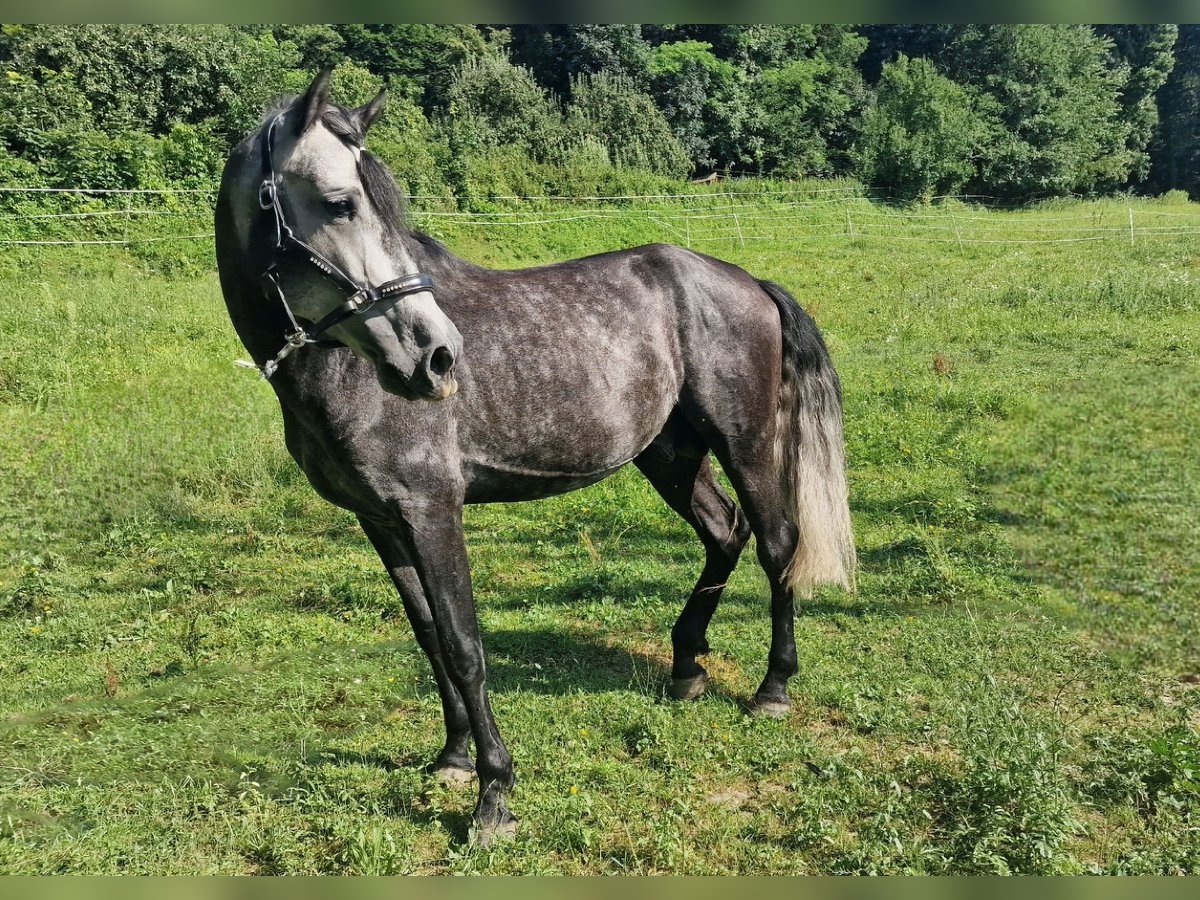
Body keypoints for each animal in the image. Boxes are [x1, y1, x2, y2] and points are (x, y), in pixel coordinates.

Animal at [213, 72, 854, 844]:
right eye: (340, 204)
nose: (438, 357)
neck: (343, 373)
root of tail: (746, 280)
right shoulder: (380, 520)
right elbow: (429, 637)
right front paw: (453, 758)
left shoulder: (432, 510)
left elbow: (464, 644)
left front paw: (494, 795)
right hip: (669, 454)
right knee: (722, 533)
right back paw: (685, 667)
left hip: (745, 441)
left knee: (776, 541)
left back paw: (772, 688)